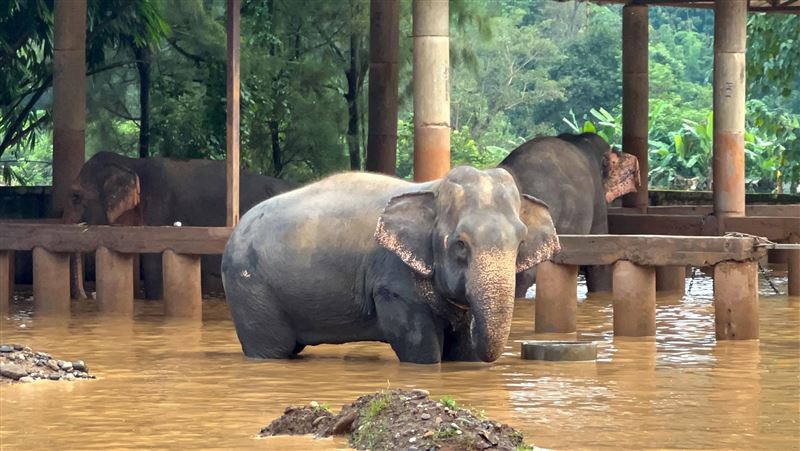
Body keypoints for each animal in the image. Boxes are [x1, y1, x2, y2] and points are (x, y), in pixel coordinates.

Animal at [221, 166, 560, 364]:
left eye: (520, 242)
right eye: (460, 244)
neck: (432, 188)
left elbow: (462, 350)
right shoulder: (392, 278)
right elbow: (419, 345)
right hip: (250, 288)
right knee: (272, 348)